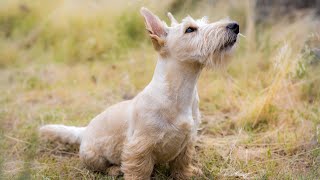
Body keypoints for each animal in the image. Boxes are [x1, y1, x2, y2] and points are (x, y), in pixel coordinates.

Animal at [39, 6, 238, 179]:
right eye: (190, 29)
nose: (235, 26)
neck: (181, 91)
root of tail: (84, 130)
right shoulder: (140, 147)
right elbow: (139, 171)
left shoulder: (187, 141)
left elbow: (181, 163)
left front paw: (187, 174)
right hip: (92, 156)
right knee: (99, 167)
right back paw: (114, 169)